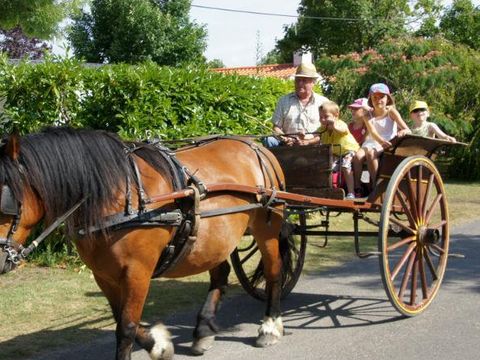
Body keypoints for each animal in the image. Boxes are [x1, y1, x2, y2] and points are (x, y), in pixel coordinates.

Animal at [0, 128, 286, 358]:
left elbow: (126, 327)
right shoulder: (103, 275)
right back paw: (203, 330)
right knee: (221, 274)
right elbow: (123, 321)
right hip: (215, 239)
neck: (118, 198)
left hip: (267, 228)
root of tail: (256, 146)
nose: (1, 260)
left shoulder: (137, 272)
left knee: (274, 270)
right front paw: (159, 345)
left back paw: (269, 327)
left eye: (7, 203)